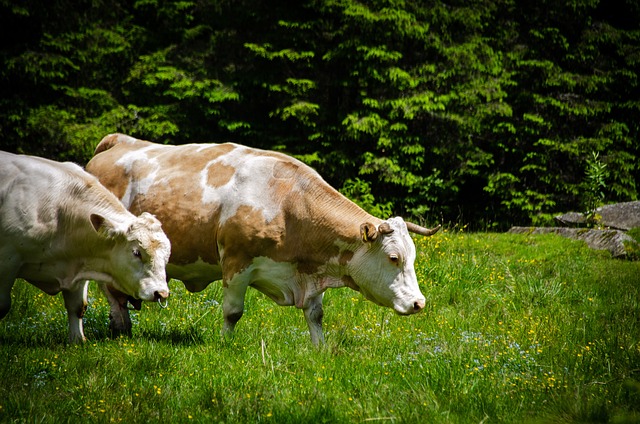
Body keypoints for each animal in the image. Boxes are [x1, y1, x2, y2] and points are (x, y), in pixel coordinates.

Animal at [0, 151, 171, 342]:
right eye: (136, 253)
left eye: (166, 257)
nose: (161, 293)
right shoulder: (7, 260)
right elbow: (2, 306)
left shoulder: (80, 264)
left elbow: (78, 307)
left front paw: (77, 340)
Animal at [87, 134, 442, 346]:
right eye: (394, 258)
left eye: (412, 257)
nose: (419, 303)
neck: (289, 204)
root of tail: (117, 141)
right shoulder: (236, 262)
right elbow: (233, 312)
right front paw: (225, 345)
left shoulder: (311, 271)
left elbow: (315, 315)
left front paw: (320, 350)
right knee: (109, 293)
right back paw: (120, 330)